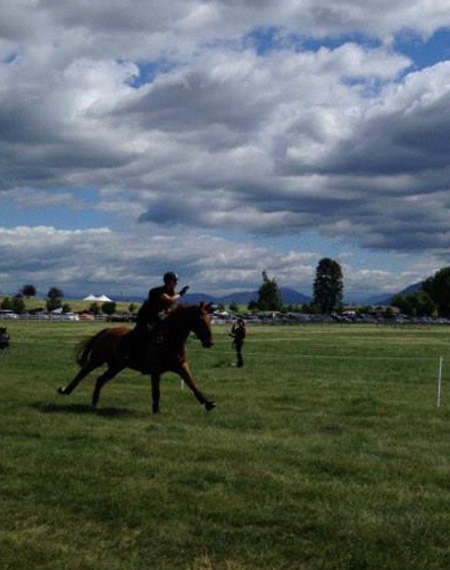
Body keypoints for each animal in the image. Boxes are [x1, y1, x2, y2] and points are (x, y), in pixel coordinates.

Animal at [57, 303, 216, 413]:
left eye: (210, 319)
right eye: (201, 320)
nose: (210, 342)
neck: (169, 340)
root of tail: (106, 331)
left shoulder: (181, 367)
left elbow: (192, 384)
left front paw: (208, 403)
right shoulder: (155, 371)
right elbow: (156, 392)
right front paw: (156, 410)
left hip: (117, 366)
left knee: (101, 379)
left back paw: (95, 402)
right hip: (97, 360)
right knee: (83, 373)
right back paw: (66, 390)